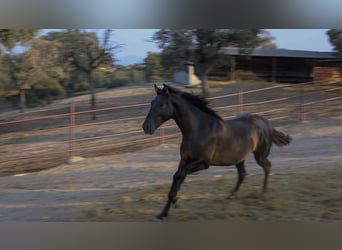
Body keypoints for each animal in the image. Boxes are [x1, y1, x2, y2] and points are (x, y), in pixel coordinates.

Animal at [142, 84, 292, 221]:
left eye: (161, 104)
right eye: (151, 103)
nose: (146, 127)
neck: (198, 129)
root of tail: (267, 124)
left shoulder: (203, 163)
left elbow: (178, 176)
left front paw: (176, 202)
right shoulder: (184, 161)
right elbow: (177, 179)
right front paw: (162, 214)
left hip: (259, 155)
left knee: (267, 167)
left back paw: (263, 194)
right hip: (239, 158)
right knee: (243, 174)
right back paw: (230, 196)